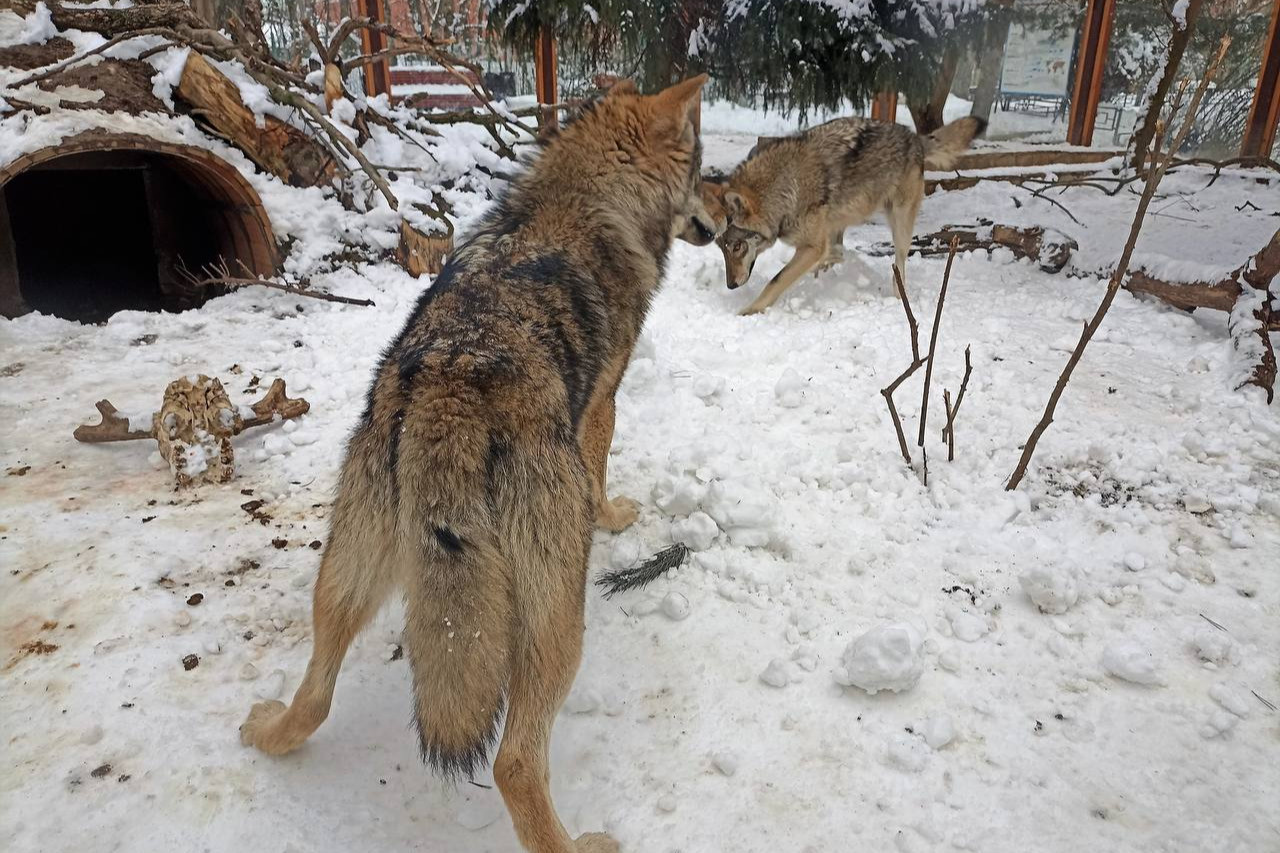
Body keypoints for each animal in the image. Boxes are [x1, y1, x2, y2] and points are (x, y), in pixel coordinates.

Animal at [238, 74, 711, 850]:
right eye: (702, 173)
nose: (716, 220)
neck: (587, 195)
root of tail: (449, 393)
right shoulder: (601, 403)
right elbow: (601, 475)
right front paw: (613, 514)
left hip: (341, 578)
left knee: (316, 694)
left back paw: (266, 731)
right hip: (557, 623)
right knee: (513, 761)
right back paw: (579, 841)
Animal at [706, 112, 983, 312]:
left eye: (737, 247)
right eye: (722, 249)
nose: (730, 285)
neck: (784, 188)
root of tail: (914, 136)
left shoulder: (812, 246)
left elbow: (775, 280)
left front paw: (748, 311)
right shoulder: (815, 242)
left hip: (899, 223)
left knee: (898, 262)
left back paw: (897, 298)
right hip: (838, 220)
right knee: (839, 251)